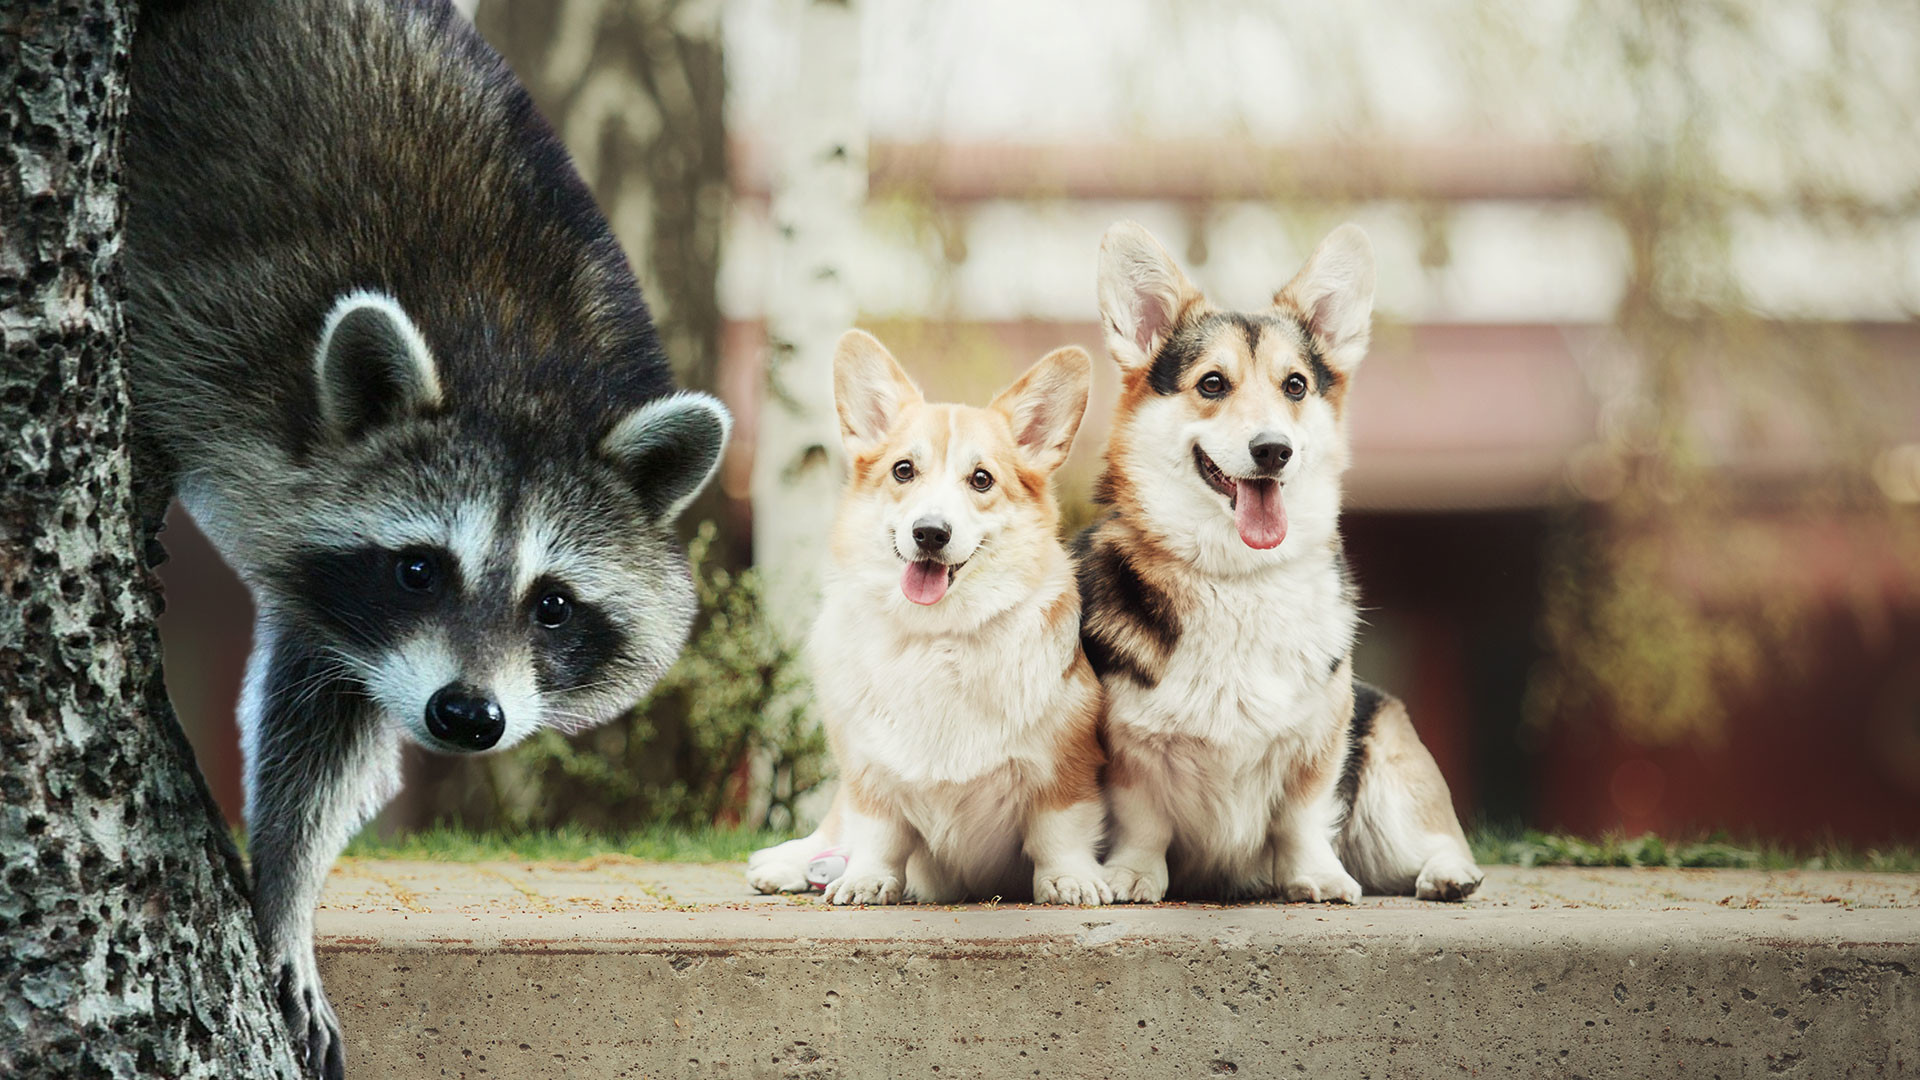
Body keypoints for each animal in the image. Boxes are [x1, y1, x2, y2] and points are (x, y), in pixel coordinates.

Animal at [121, 4, 725, 1068]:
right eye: (418, 569)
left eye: (554, 604)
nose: (467, 717)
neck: (522, 370)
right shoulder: (221, 319)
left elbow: (329, 720)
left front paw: (285, 885)